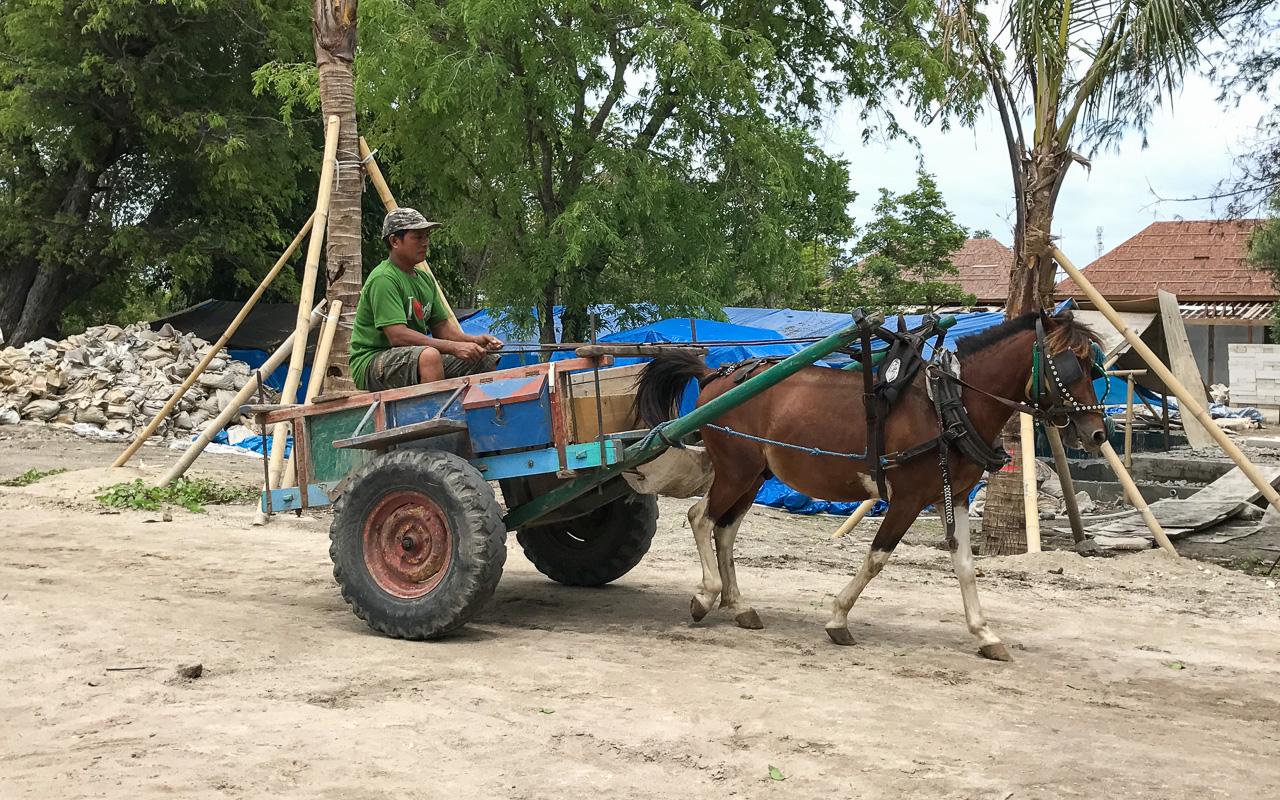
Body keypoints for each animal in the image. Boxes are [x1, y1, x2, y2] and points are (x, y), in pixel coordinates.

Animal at [634, 310, 1108, 661]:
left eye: (1095, 367)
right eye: (1072, 364)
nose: (1097, 433)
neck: (949, 404)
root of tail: (715, 374)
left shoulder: (948, 497)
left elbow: (966, 567)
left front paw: (984, 633)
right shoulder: (908, 499)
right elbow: (877, 558)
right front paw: (838, 619)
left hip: (754, 476)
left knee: (725, 530)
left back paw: (738, 605)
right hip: (736, 470)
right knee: (701, 518)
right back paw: (706, 595)